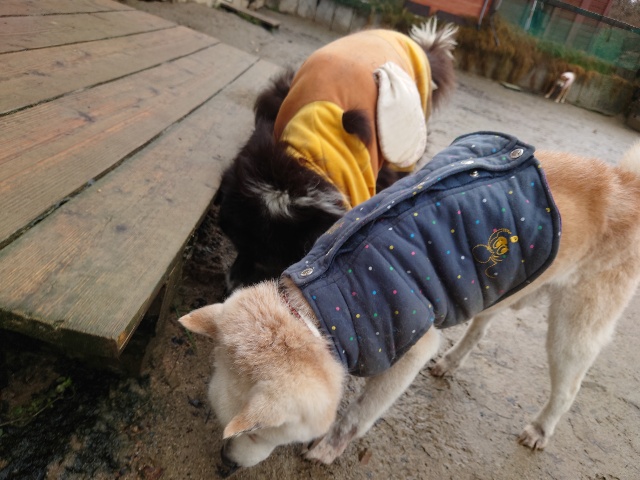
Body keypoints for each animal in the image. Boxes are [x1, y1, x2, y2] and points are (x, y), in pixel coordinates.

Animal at [180, 132, 640, 477]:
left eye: (257, 434)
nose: (224, 464)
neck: (320, 311)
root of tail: (622, 182)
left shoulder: (409, 350)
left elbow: (358, 413)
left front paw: (327, 449)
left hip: (574, 328)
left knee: (568, 385)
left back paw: (541, 429)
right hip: (503, 282)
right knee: (480, 327)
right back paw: (452, 362)